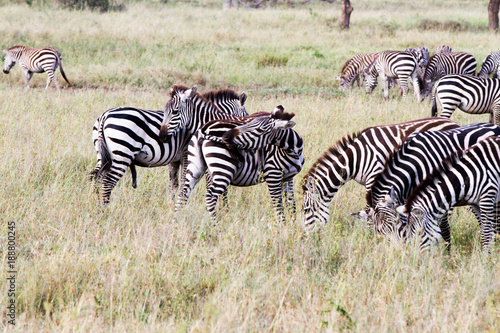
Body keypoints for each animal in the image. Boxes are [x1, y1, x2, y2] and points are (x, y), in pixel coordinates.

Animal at [89, 87, 248, 204]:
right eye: (245, 115)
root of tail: (104, 116)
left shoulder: (175, 159)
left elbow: (174, 184)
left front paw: (171, 204)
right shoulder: (186, 154)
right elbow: (191, 182)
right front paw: (224, 207)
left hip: (104, 155)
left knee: (96, 178)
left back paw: (96, 205)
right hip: (123, 153)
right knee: (108, 182)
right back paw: (106, 208)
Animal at [174, 107, 302, 223]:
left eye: (259, 130)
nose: (225, 137)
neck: (292, 151)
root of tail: (202, 130)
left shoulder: (288, 177)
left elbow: (291, 203)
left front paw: (293, 225)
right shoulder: (272, 174)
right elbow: (278, 204)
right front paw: (282, 225)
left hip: (195, 166)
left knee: (183, 194)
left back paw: (176, 222)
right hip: (223, 169)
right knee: (210, 197)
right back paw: (215, 226)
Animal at [300, 118, 460, 230]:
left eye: (306, 210)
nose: (305, 236)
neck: (355, 159)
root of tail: (453, 122)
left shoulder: (374, 177)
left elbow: (370, 209)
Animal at [366, 121, 500, 246]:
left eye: (395, 224)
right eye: (378, 231)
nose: (396, 251)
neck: (415, 166)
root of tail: (493, 125)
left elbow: (444, 227)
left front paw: (447, 253)